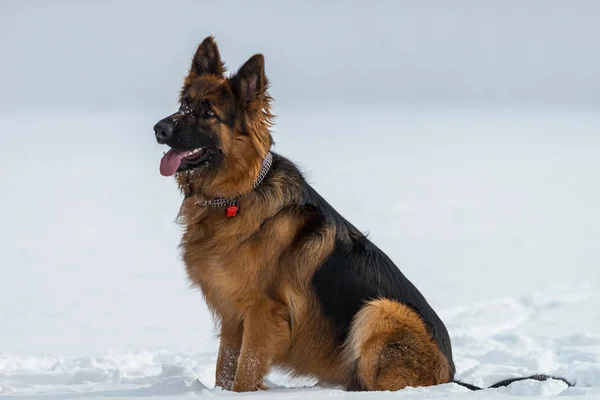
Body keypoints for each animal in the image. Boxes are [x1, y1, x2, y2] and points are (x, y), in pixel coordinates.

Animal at [154, 36, 572, 392]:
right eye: (184, 103)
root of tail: (452, 376)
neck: (238, 193)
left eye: (208, 113)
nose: (159, 128)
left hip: (379, 310)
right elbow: (226, 369)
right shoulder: (232, 317)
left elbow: (244, 374)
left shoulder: (263, 315)